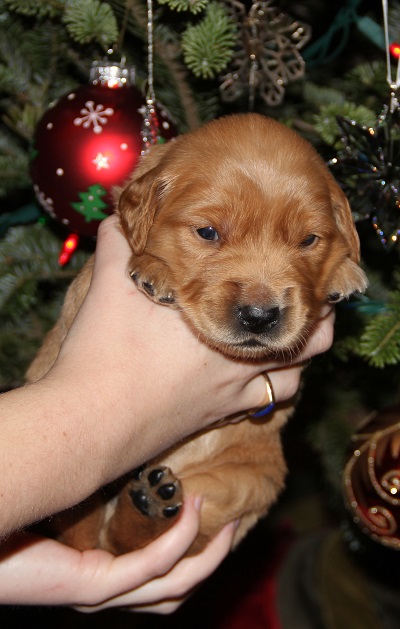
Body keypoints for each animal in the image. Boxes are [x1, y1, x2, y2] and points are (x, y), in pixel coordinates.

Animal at [26, 113, 368, 556]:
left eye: (308, 240)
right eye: (207, 232)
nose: (260, 316)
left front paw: (345, 274)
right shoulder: (88, 283)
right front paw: (153, 269)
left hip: (246, 482)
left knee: (132, 539)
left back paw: (149, 504)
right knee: (81, 527)